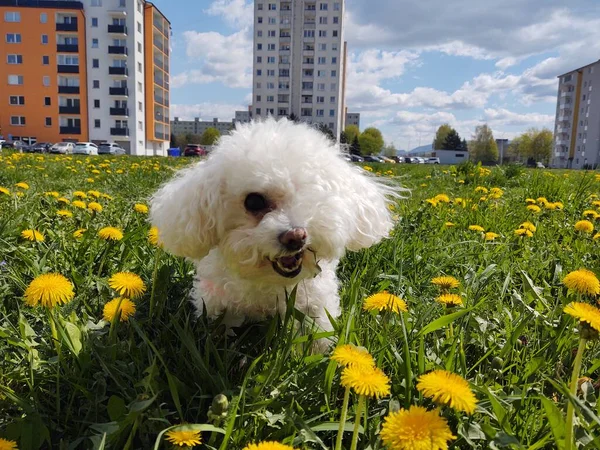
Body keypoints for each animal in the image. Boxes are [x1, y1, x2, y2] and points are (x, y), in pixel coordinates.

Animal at [149, 118, 394, 344]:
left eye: (314, 194)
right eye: (254, 201)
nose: (296, 237)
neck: (270, 282)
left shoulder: (316, 300)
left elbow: (318, 333)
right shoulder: (216, 300)